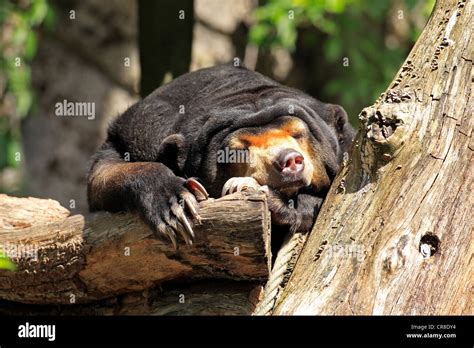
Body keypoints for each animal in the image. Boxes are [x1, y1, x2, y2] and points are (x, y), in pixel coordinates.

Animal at [88, 63, 356, 247]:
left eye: (298, 133)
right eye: (237, 152)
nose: (289, 161)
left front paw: (265, 195)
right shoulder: (141, 131)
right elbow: (104, 173)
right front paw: (177, 205)